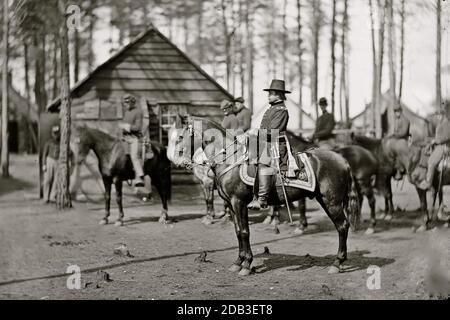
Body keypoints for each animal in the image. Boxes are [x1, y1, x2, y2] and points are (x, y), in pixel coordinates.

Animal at [169, 117, 358, 276]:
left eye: (180, 137)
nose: (178, 161)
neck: (230, 160)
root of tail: (343, 160)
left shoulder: (239, 203)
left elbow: (244, 232)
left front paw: (246, 265)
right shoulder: (231, 204)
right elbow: (238, 232)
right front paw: (238, 262)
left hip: (332, 202)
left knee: (342, 226)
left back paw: (337, 263)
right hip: (325, 200)